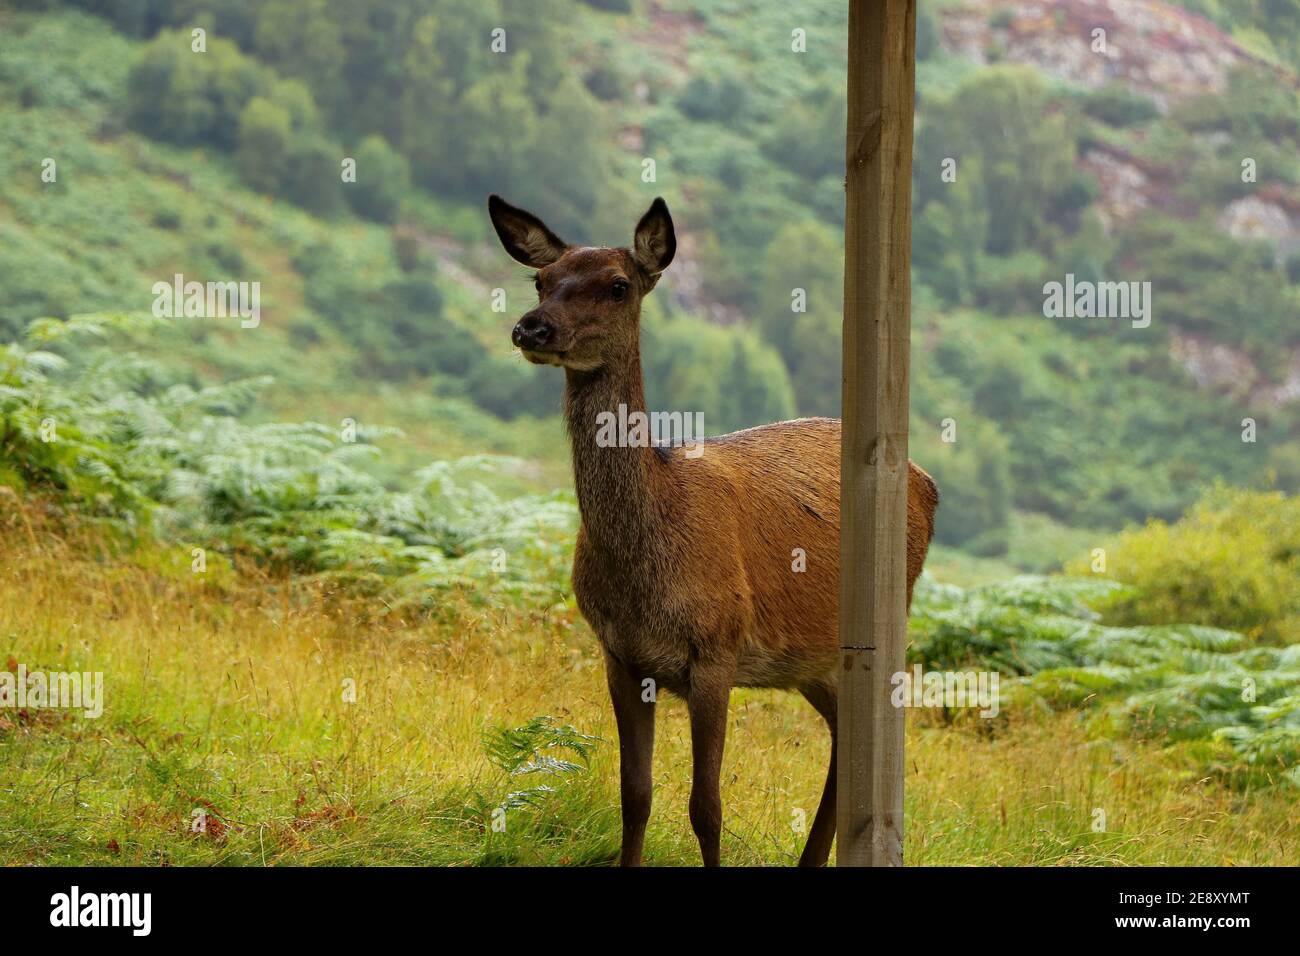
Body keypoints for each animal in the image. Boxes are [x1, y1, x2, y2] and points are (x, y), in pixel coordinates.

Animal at [488, 194, 938, 867]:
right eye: (541, 280)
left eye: (618, 285)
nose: (532, 328)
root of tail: (928, 484)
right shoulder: (620, 655)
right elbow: (635, 794)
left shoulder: (717, 649)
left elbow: (707, 806)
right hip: (811, 662)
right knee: (841, 734)